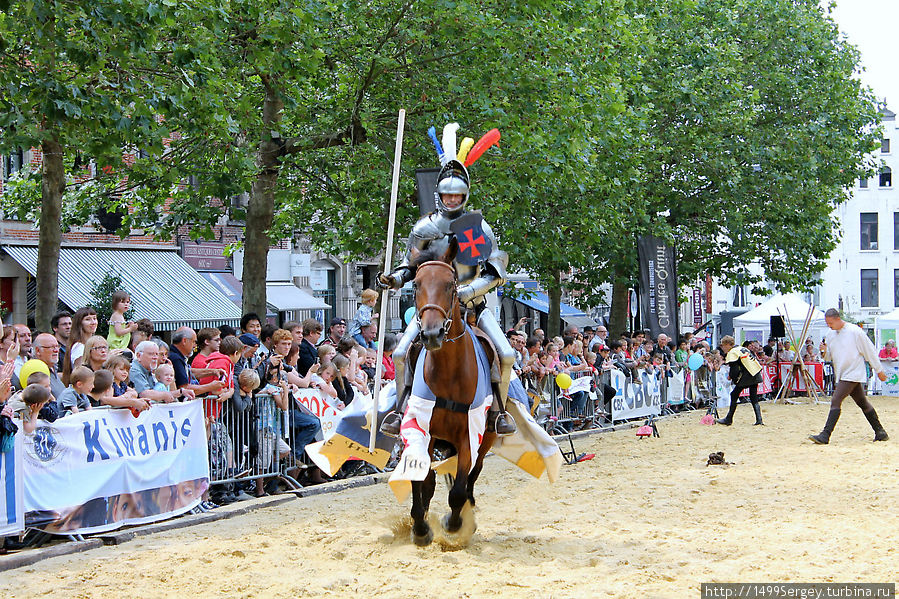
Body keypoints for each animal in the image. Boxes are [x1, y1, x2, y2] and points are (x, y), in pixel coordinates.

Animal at [408, 240, 500, 548]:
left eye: (450, 285)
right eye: (416, 284)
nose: (431, 334)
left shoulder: (469, 438)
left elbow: (459, 489)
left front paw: (454, 522)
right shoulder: (422, 432)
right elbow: (421, 480)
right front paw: (420, 527)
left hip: (488, 438)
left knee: (472, 477)